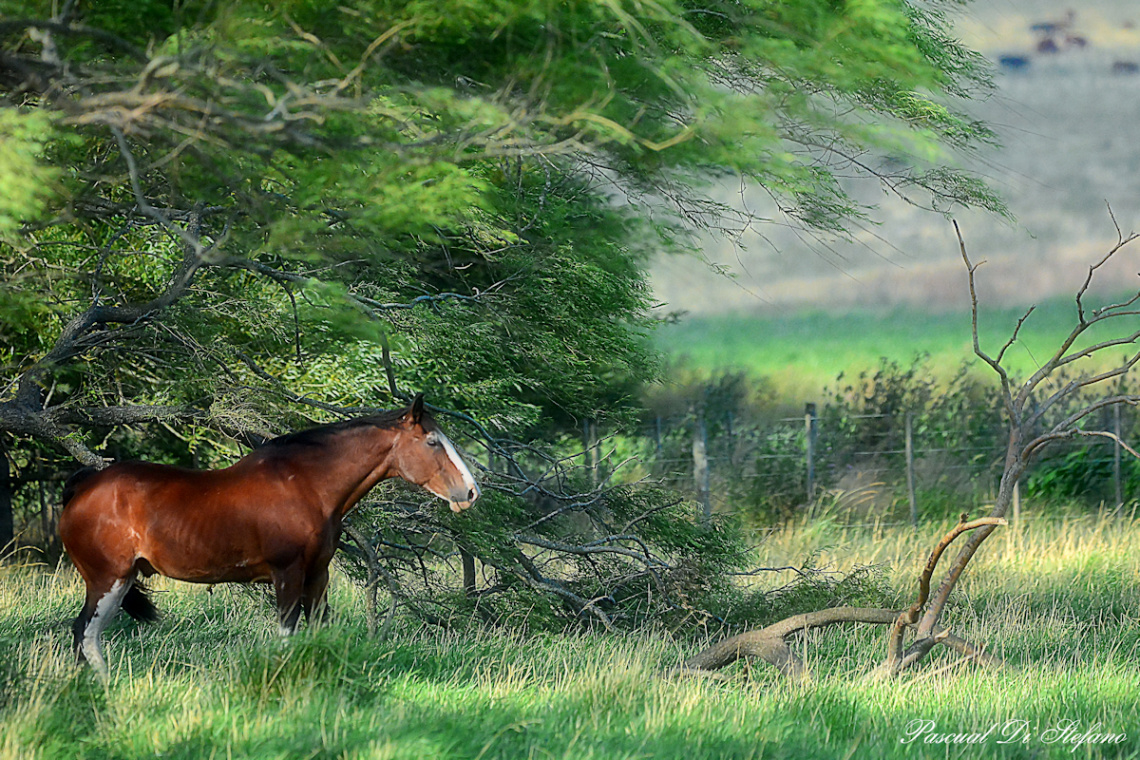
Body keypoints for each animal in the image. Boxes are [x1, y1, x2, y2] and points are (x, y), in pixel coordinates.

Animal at [58, 391, 476, 679]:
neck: (306, 484)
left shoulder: (317, 575)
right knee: (84, 633)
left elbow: (318, 630)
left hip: (122, 579)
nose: (471, 492)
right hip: (106, 579)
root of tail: (84, 485)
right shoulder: (287, 573)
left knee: (88, 635)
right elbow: (287, 634)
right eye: (432, 442)